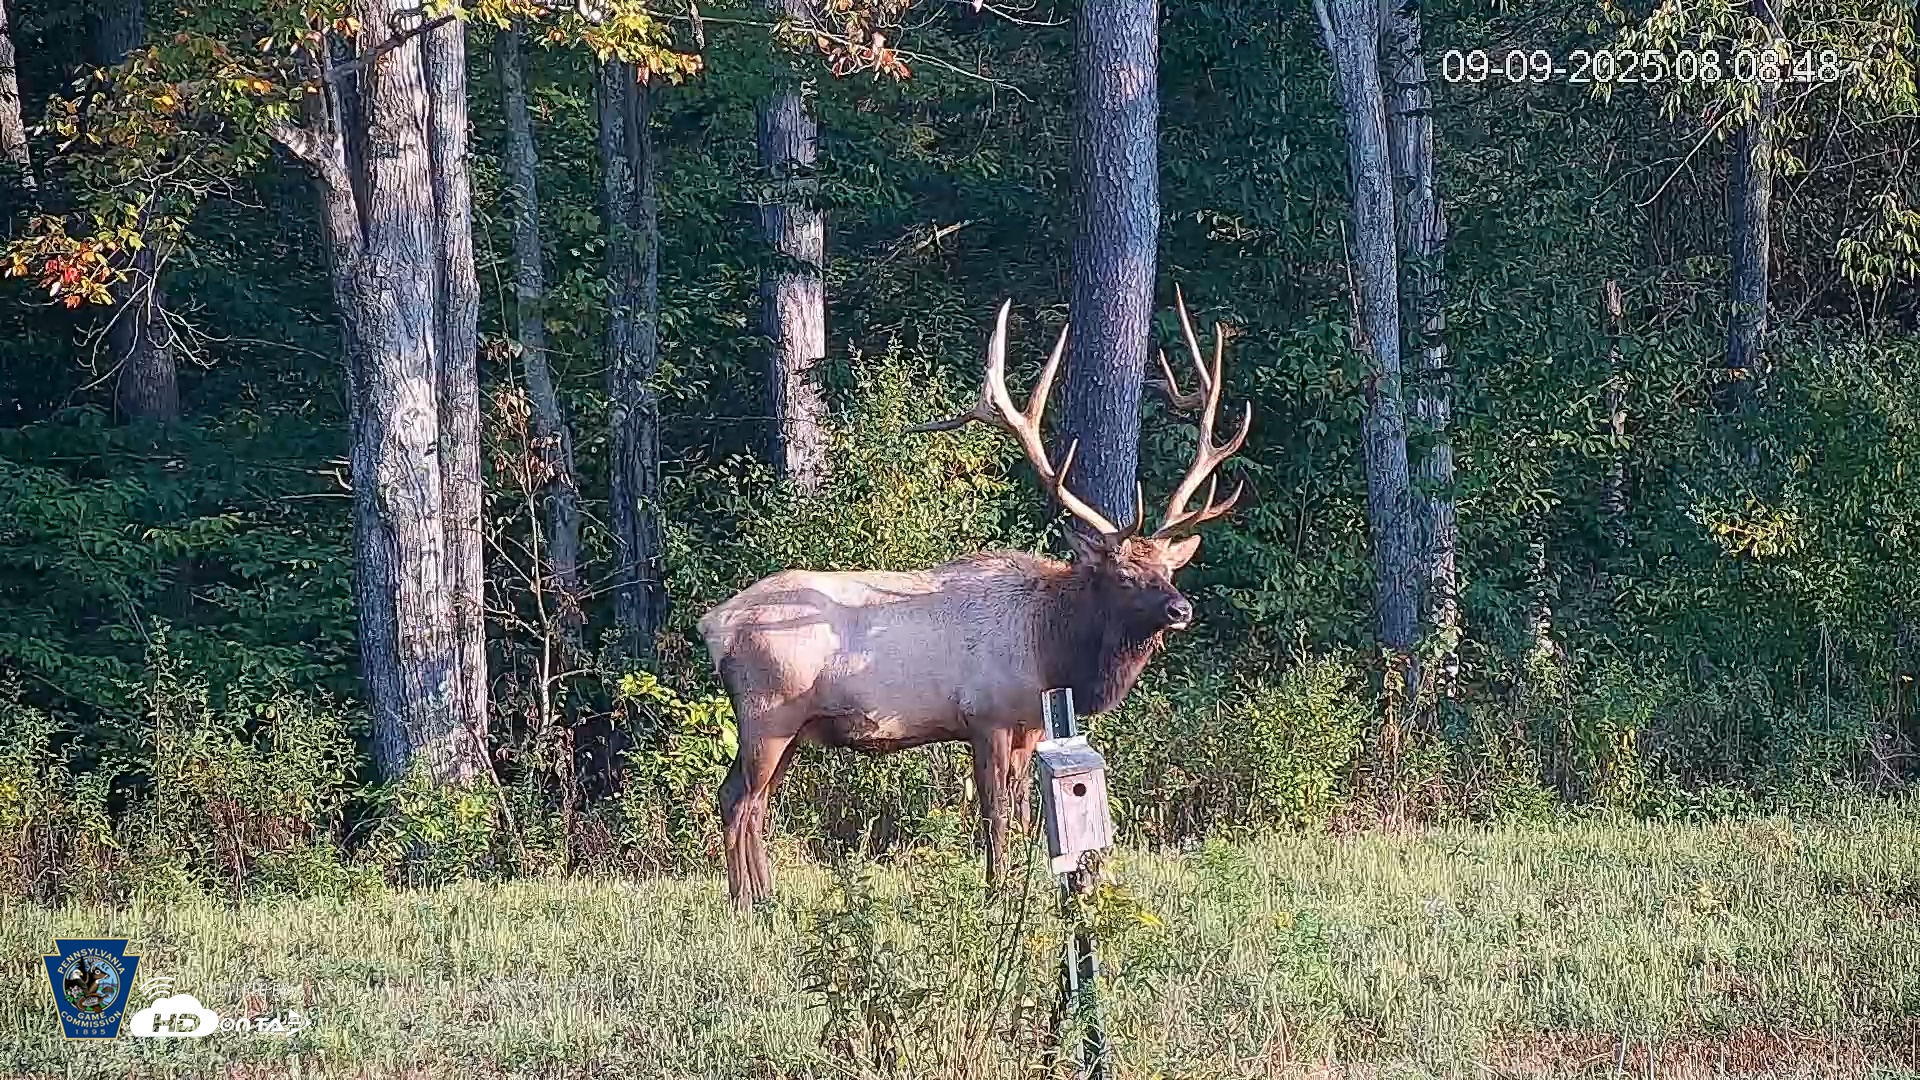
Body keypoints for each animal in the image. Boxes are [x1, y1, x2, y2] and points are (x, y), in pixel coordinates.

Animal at [697, 289, 1251, 909]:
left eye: (1168, 569)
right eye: (1124, 573)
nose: (1182, 610)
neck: (1051, 648)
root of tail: (712, 624)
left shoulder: (1031, 725)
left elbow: (1029, 812)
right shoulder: (986, 716)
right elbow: (995, 813)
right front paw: (998, 892)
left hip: (791, 724)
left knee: (757, 802)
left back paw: (766, 896)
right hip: (767, 711)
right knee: (736, 797)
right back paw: (744, 904)